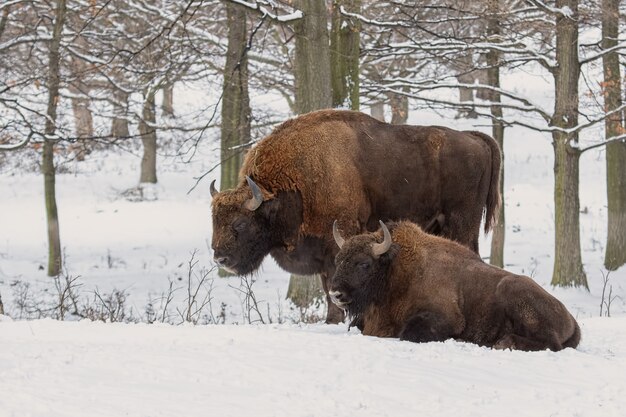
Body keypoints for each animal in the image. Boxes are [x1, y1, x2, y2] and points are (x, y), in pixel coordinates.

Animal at [207, 109, 500, 322]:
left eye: (240, 223)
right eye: (214, 220)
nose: (220, 258)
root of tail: (475, 138)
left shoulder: (337, 239)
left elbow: (332, 284)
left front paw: (337, 318)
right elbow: (327, 285)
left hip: (462, 223)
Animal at [330, 219, 576, 350]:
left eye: (364, 264)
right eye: (338, 260)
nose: (335, 294)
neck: (396, 271)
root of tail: (572, 320)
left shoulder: (446, 318)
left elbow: (409, 332)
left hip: (515, 294)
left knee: (551, 343)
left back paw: (503, 342)